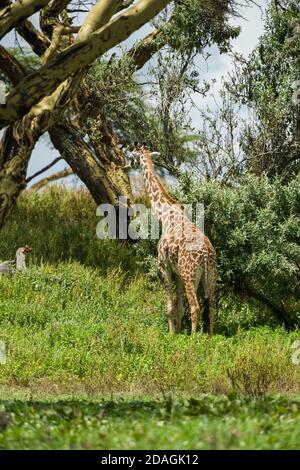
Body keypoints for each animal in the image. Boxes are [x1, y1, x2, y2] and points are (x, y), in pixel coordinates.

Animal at [132, 146, 217, 334]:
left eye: (132, 155)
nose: (129, 164)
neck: (163, 213)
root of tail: (206, 255)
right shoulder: (176, 272)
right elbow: (178, 308)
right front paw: (178, 332)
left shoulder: (163, 267)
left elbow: (170, 307)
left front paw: (171, 335)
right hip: (210, 276)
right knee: (211, 309)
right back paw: (210, 337)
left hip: (190, 275)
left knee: (195, 307)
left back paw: (194, 338)